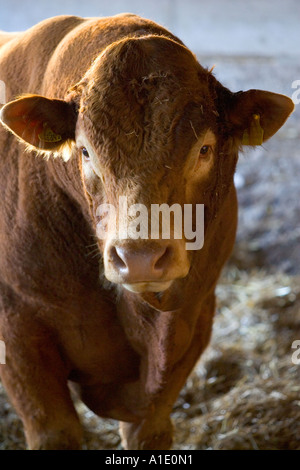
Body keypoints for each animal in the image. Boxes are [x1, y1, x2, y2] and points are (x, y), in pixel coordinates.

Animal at [0, 12, 292, 450]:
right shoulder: (18, 329)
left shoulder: (193, 320)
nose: (139, 258)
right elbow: (54, 429)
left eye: (204, 149)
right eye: (85, 151)